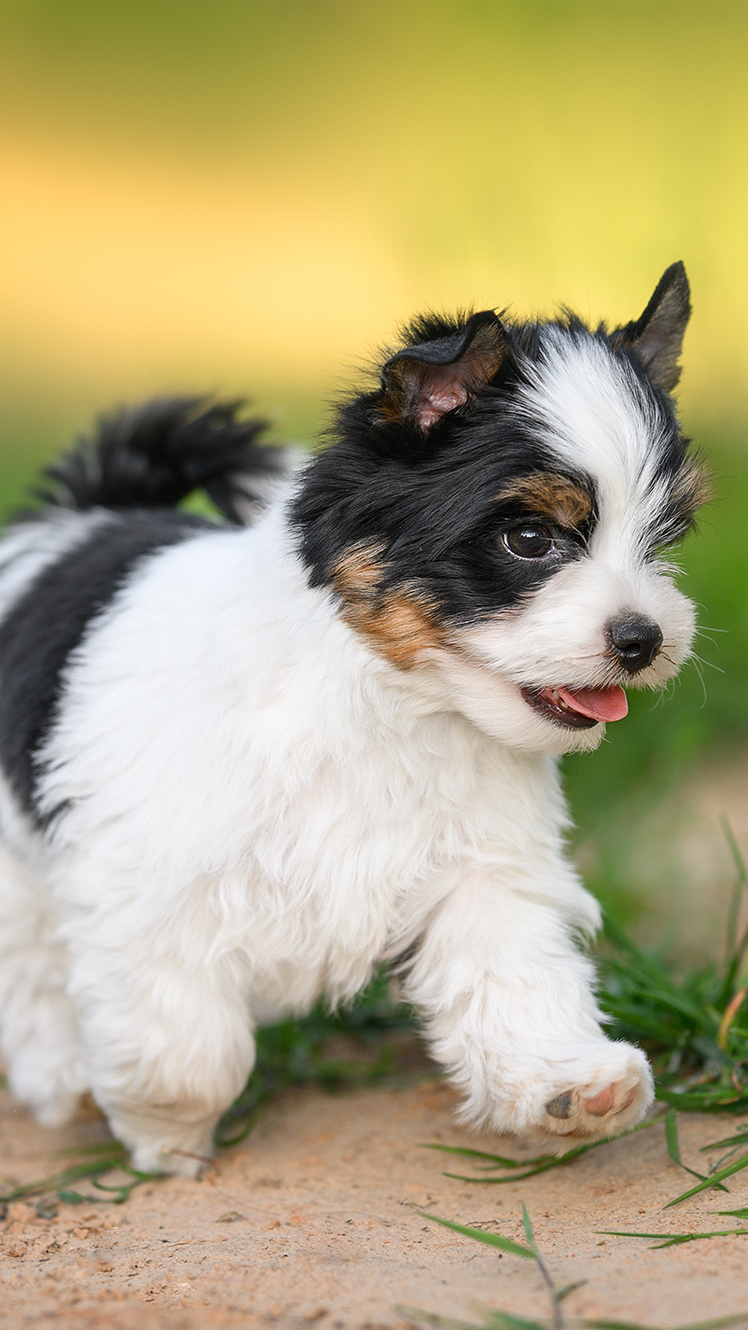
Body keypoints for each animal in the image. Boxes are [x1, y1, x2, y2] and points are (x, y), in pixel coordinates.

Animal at [0, 262, 702, 1175]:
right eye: (529, 539)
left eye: (663, 537)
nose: (643, 638)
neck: (384, 696)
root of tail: (85, 515)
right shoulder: (151, 880)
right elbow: (182, 1041)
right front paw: (168, 1138)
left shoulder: (481, 866)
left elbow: (511, 972)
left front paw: (568, 1082)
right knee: (34, 962)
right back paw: (63, 1076)